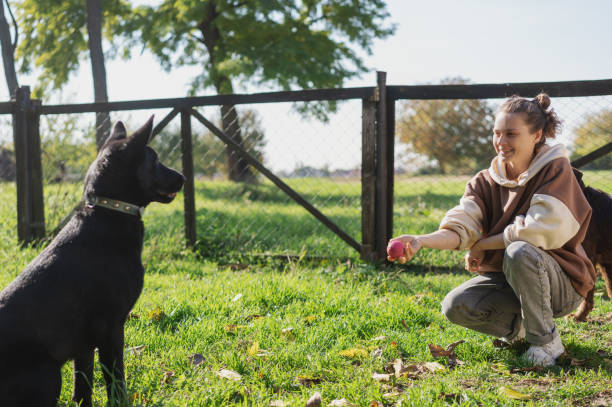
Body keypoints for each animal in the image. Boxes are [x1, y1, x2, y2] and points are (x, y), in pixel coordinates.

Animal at [0, 116, 184, 406]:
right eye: (154, 160)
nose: (184, 178)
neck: (108, 211)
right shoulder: (111, 328)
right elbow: (116, 382)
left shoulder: (84, 345)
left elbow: (82, 388)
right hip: (48, 373)